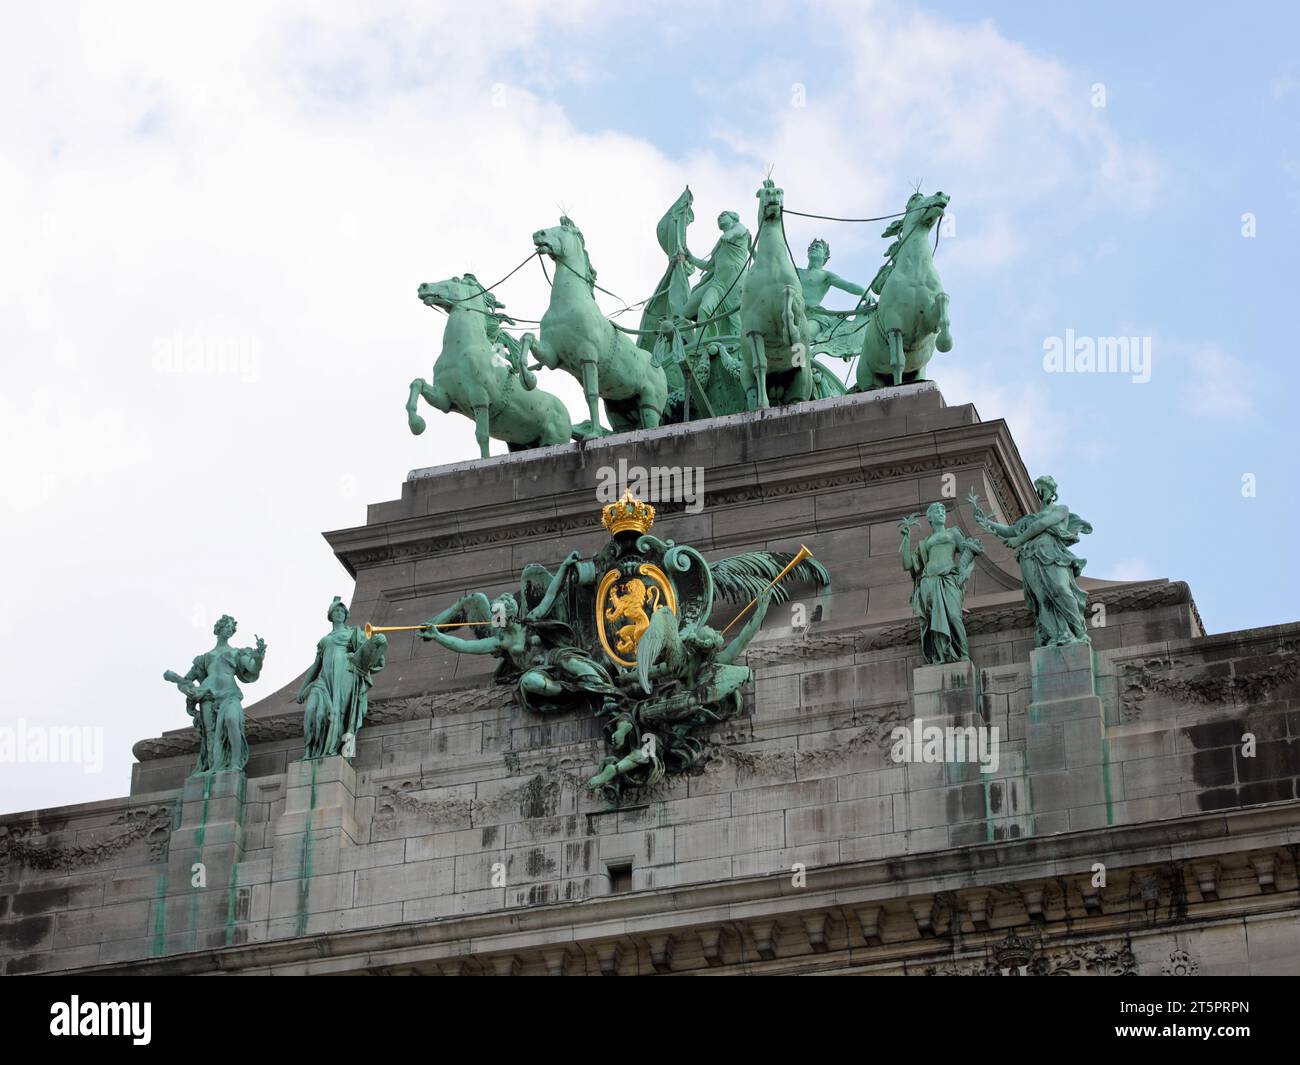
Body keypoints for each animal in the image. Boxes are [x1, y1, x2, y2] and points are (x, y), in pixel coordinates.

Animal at [517, 218, 665, 434]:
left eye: (563, 228)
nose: (538, 234)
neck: (566, 306)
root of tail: (658, 366)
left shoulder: (587, 355)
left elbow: (591, 395)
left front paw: (594, 433)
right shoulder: (552, 356)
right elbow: (527, 337)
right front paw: (527, 380)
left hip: (650, 405)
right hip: (619, 411)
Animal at [738, 176, 816, 410]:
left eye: (780, 191)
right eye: (762, 192)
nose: (773, 194)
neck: (771, 263)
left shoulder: (798, 308)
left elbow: (790, 305)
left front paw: (789, 329)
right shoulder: (753, 329)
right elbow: (760, 365)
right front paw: (763, 406)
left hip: (803, 381)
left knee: (797, 398)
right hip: (745, 377)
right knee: (752, 387)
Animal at [852, 191, 956, 392]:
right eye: (915, 197)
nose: (942, 194)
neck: (915, 270)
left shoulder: (929, 320)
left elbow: (943, 299)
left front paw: (945, 342)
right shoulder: (895, 326)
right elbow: (898, 362)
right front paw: (898, 385)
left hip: (919, 371)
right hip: (869, 379)